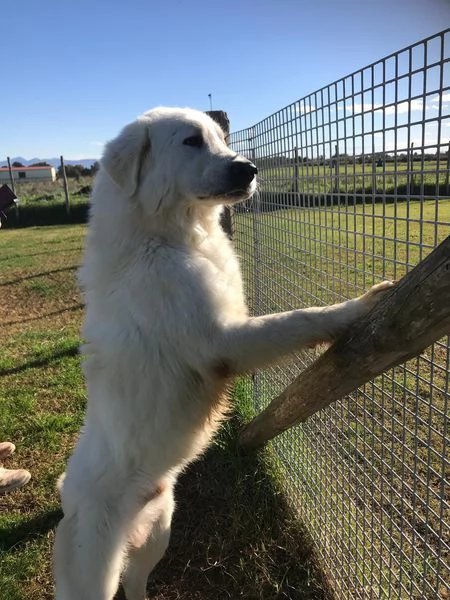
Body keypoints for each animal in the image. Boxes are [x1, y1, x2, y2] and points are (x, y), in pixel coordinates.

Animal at [51, 105, 390, 596]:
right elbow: (298, 319)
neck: (165, 238)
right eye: (191, 141)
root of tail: (67, 495)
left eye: (220, 139)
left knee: (135, 581)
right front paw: (357, 308)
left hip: (159, 532)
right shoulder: (222, 341)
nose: (248, 169)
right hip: (94, 573)